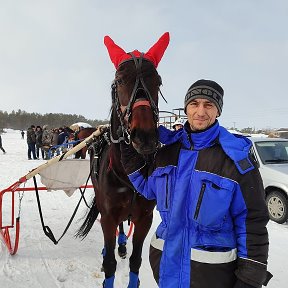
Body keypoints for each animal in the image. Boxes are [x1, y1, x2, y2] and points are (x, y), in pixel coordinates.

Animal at [77, 32, 170, 286]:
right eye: (119, 81)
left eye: (158, 81)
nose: (145, 136)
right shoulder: (108, 215)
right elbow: (109, 263)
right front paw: (107, 257)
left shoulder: (145, 218)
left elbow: (136, 260)